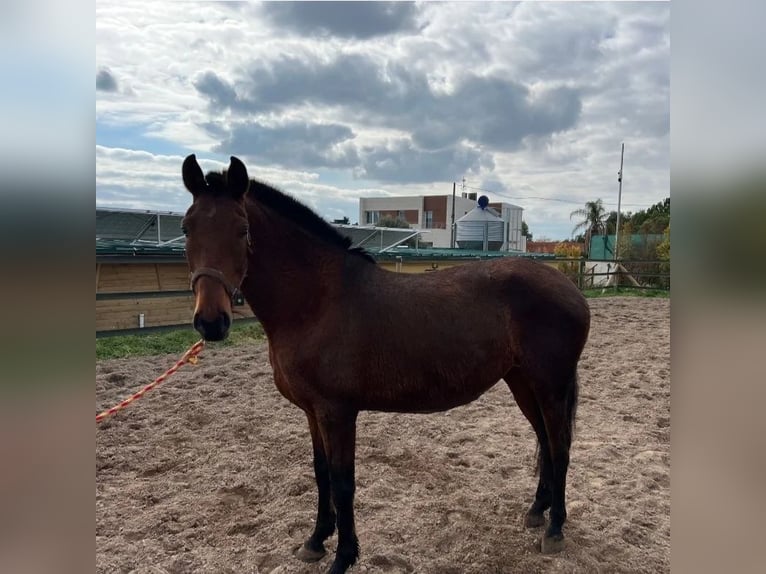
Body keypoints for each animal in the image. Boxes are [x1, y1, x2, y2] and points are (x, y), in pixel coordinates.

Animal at [182, 155, 592, 572]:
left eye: (242, 229)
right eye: (187, 228)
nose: (211, 322)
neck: (317, 302)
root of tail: (570, 289)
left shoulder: (338, 412)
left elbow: (343, 483)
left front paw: (343, 557)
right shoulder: (313, 412)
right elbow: (321, 473)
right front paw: (315, 541)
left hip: (550, 386)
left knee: (560, 445)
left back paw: (554, 529)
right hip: (522, 382)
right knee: (545, 442)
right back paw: (537, 511)